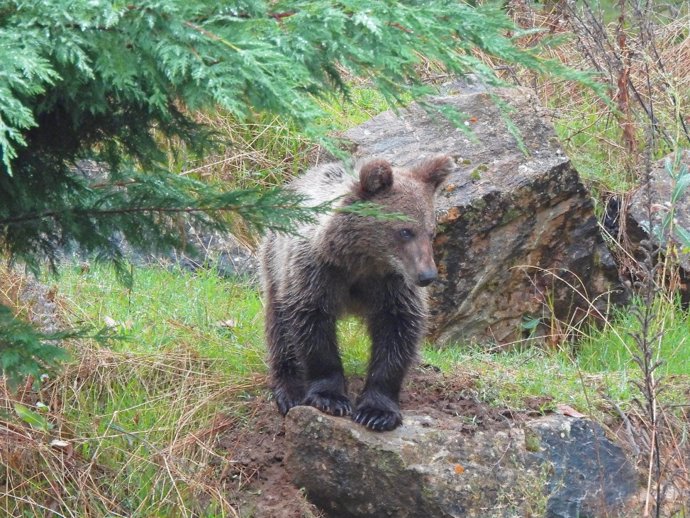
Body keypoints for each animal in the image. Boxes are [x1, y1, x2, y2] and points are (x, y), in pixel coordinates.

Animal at [258, 156, 452, 432]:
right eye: (405, 231)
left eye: (431, 231)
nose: (427, 276)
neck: (363, 261)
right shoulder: (317, 273)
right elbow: (312, 324)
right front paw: (330, 398)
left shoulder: (392, 286)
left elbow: (398, 331)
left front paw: (377, 411)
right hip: (275, 261)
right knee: (279, 326)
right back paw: (289, 390)